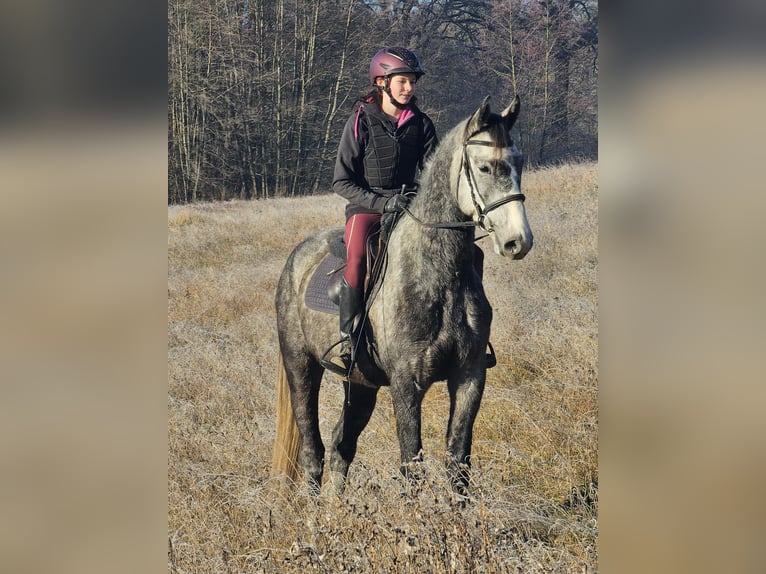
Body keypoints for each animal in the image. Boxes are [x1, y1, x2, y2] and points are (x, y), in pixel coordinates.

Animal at [272, 97, 536, 498]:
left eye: (519, 162)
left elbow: (458, 463)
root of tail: (296, 259)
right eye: (484, 166)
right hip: (301, 366)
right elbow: (412, 465)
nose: (518, 242)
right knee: (312, 450)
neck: (439, 274)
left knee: (341, 445)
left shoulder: (470, 376)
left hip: (360, 384)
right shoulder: (406, 382)